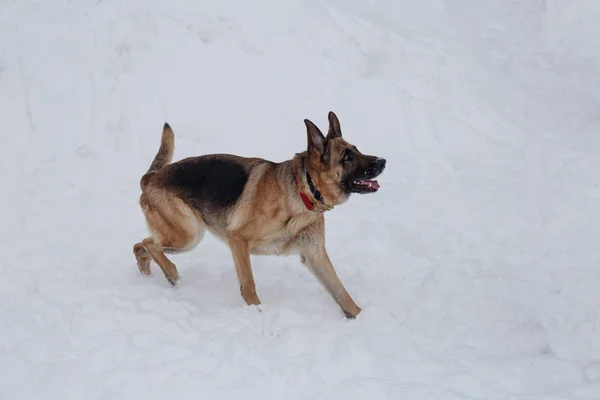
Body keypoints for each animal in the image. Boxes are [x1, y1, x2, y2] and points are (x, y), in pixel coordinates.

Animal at [132, 111, 386, 318]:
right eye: (347, 157)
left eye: (357, 150)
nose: (383, 161)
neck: (302, 190)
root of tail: (151, 178)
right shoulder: (238, 240)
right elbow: (248, 286)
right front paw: (258, 313)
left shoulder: (316, 256)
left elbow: (342, 293)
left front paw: (361, 317)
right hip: (188, 235)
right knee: (149, 244)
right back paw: (171, 274)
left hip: (184, 238)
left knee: (141, 246)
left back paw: (146, 273)